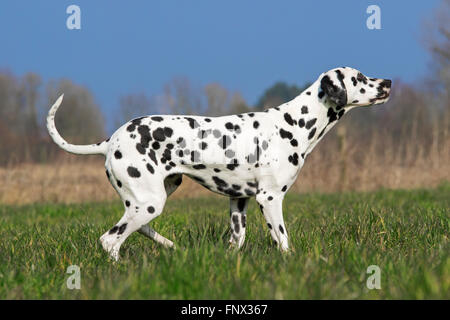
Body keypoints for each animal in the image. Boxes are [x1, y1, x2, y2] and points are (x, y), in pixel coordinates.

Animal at [46, 67, 390, 260]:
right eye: (359, 78)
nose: (387, 82)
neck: (293, 123)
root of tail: (109, 141)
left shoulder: (239, 202)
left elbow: (236, 242)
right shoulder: (270, 199)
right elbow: (283, 240)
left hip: (153, 198)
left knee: (138, 229)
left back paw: (170, 247)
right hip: (149, 203)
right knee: (110, 241)